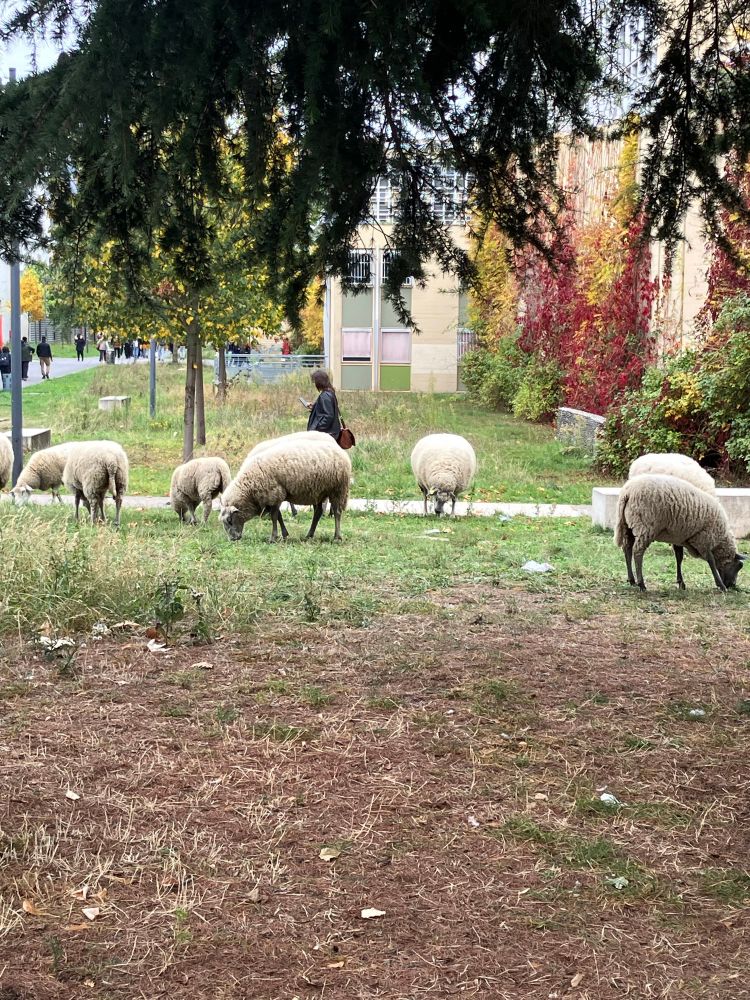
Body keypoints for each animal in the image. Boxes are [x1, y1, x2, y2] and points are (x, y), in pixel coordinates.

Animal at [220, 435, 351, 543]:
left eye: (230, 520)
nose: (233, 539)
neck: (249, 489)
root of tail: (341, 451)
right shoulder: (275, 497)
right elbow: (279, 516)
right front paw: (284, 534)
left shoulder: (274, 494)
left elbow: (274, 517)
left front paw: (273, 537)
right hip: (318, 491)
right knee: (318, 512)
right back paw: (309, 535)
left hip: (337, 489)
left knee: (337, 512)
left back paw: (337, 537)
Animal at [615, 474, 745, 592]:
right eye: (738, 566)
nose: (732, 585)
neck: (720, 538)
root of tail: (628, 492)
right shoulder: (703, 538)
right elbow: (711, 561)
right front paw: (721, 586)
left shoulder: (679, 537)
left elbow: (679, 557)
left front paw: (681, 582)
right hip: (646, 527)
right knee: (637, 552)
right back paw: (641, 584)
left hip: (627, 525)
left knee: (627, 549)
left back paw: (631, 580)